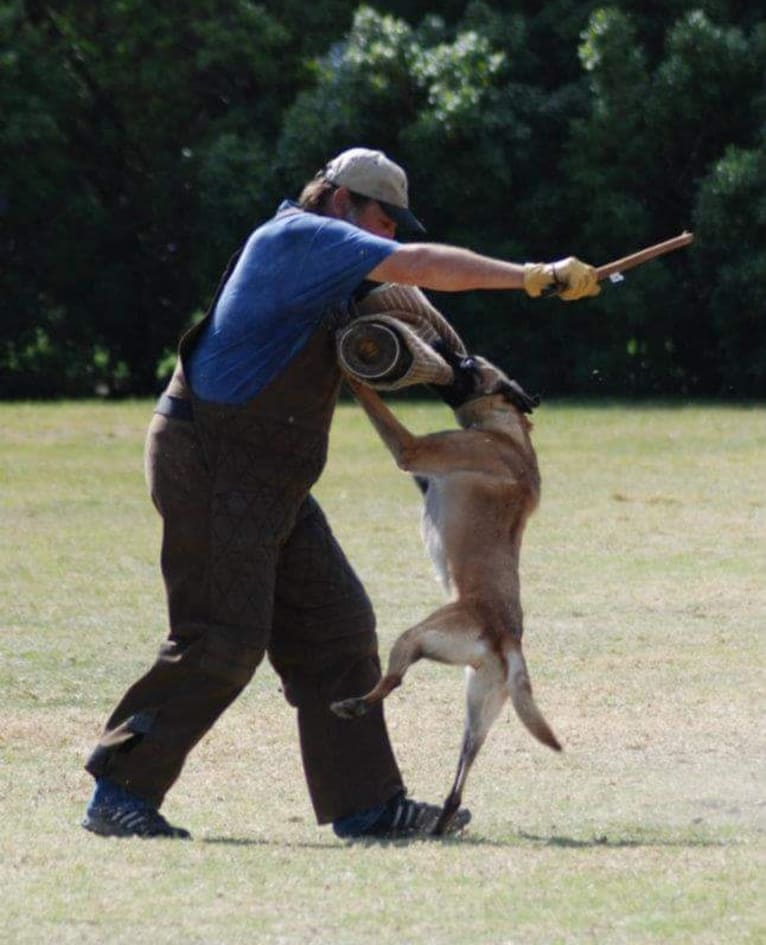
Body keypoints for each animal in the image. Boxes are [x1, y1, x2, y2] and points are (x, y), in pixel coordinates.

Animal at [332, 360, 560, 832]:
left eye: (471, 366)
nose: (455, 357)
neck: (507, 433)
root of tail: (506, 636)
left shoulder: (412, 449)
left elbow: (375, 406)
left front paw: (350, 375)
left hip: (418, 635)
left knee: (392, 681)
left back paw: (354, 706)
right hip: (479, 710)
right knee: (459, 781)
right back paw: (441, 824)